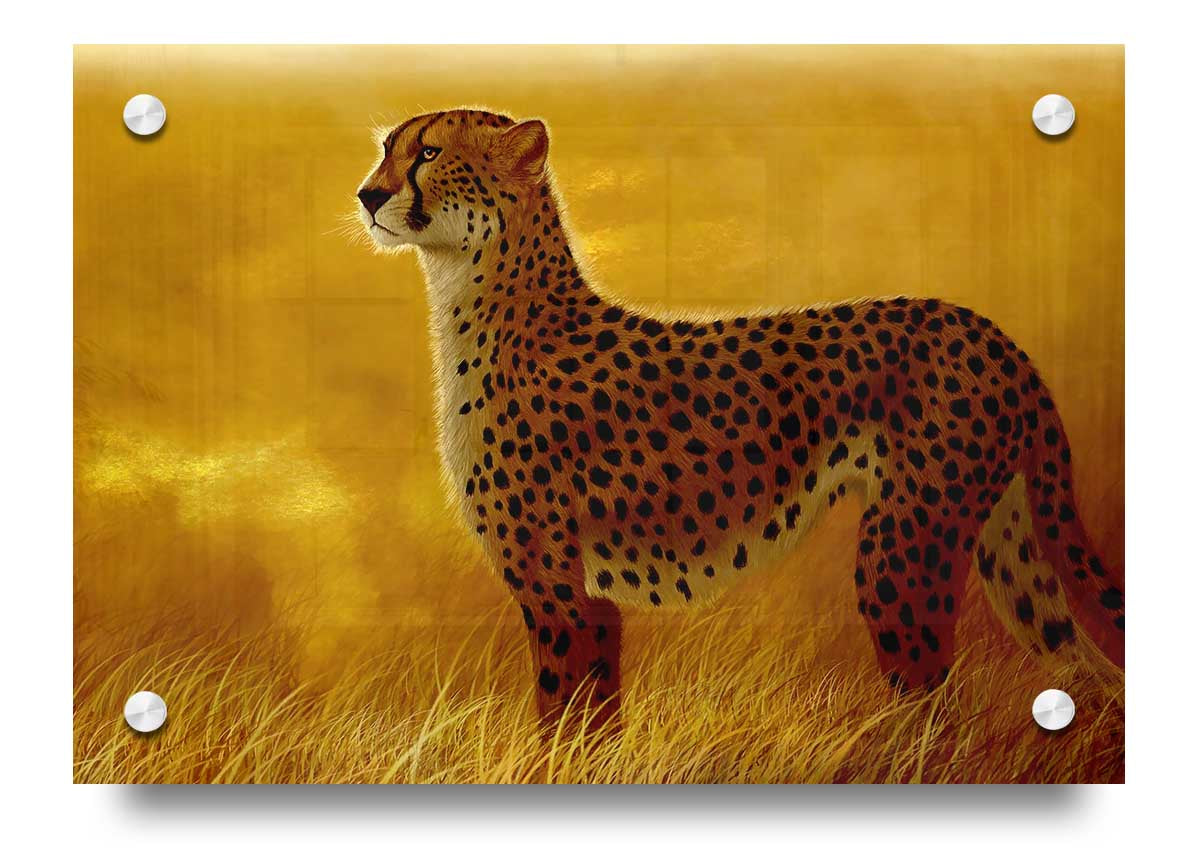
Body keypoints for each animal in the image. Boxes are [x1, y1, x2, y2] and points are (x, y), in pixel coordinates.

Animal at [356, 108, 1124, 729]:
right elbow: (591, 721)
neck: (479, 293)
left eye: (428, 152)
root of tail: (987, 328)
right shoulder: (587, 597)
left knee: (938, 704)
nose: (368, 195)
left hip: (904, 554)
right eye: (388, 149)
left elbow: (562, 719)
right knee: (1087, 672)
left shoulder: (558, 592)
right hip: (1007, 547)